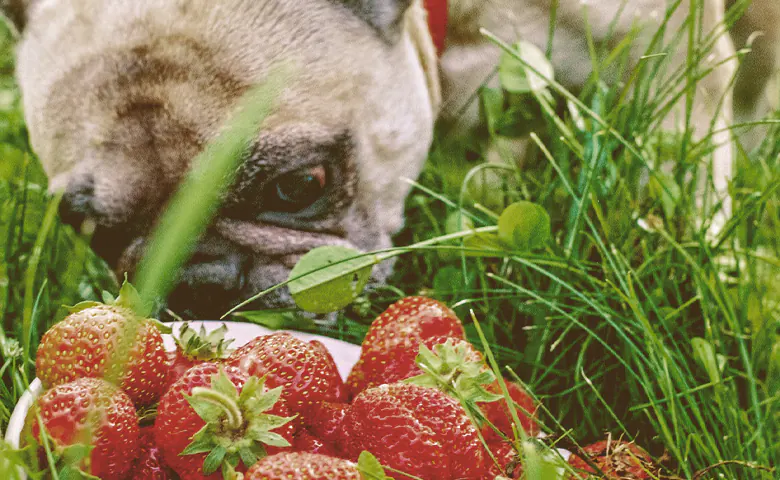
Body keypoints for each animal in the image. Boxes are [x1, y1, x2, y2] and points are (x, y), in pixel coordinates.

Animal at [0, 1, 776, 320]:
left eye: (299, 184)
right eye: (88, 230)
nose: (200, 283)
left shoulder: (668, 54)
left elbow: (685, 168)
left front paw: (708, 267)